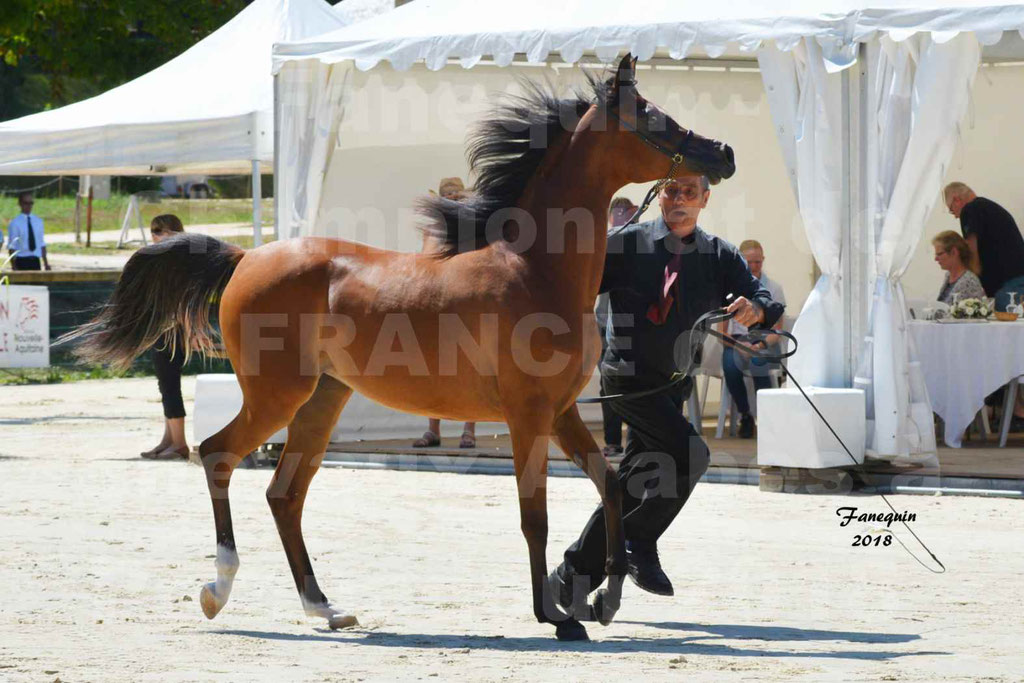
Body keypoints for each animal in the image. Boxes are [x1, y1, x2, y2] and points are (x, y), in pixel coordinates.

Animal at [70, 54, 737, 643]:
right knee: (217, 456)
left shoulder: (564, 411)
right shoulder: (528, 417)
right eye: (650, 115)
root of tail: (246, 257)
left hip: (323, 401)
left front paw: (605, 599)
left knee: (285, 493)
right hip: (277, 396)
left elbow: (611, 487)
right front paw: (557, 618)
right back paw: (219, 590)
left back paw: (326, 608)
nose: (721, 155)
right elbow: (535, 516)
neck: (534, 269)